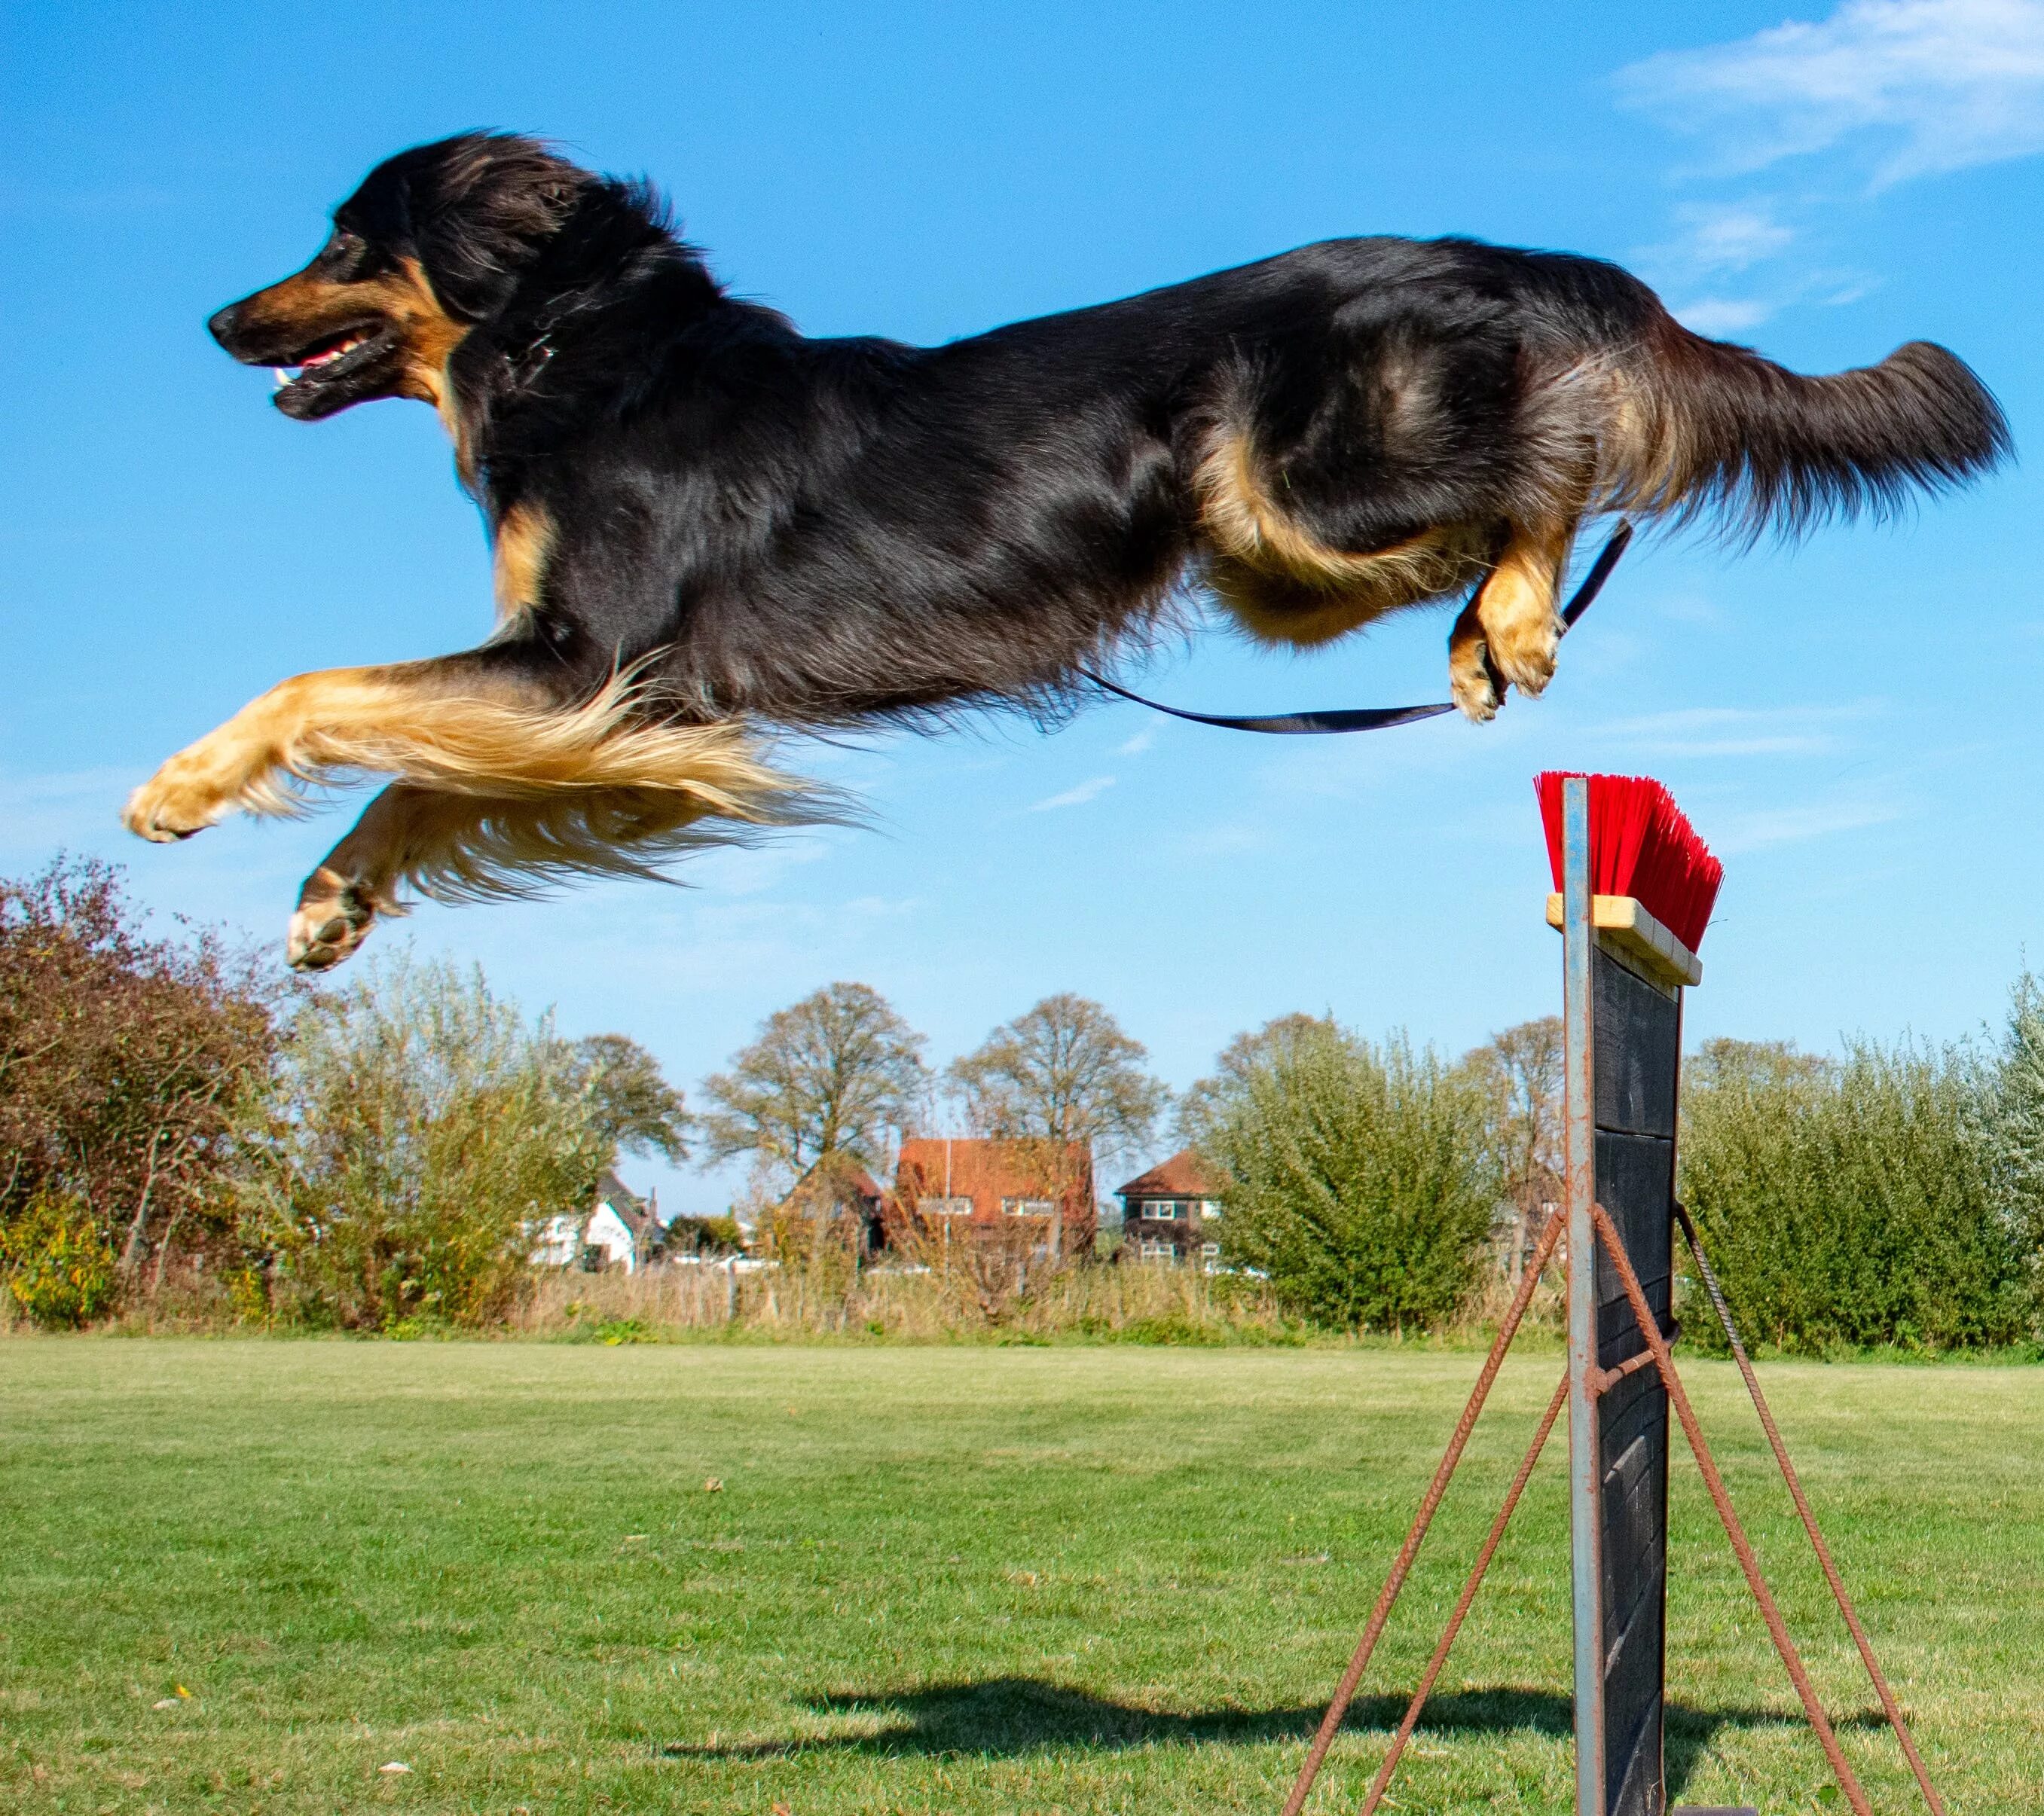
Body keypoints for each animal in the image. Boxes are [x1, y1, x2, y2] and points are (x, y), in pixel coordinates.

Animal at [131, 134, 2011, 972]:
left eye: (345, 240)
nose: (218, 320)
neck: (592, 350)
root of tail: (1485, 252)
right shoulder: (623, 710)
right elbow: (415, 761)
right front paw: (332, 893)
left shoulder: (598, 663)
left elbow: (320, 686)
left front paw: (181, 785)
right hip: (1265, 557)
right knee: (1526, 484)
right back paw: (1488, 634)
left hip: (1295, 495)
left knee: (1564, 457)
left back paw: (1522, 624)